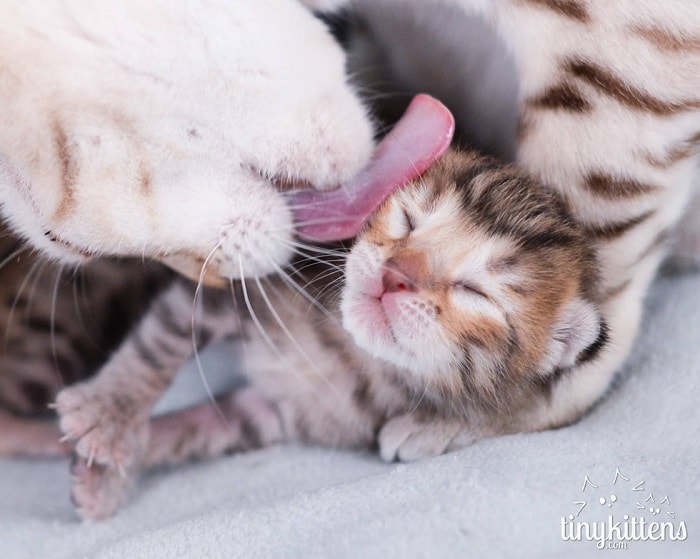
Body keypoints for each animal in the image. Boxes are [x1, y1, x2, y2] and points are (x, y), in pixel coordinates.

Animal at [52, 150, 604, 520]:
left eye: (474, 291)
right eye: (408, 220)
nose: (396, 275)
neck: (351, 355)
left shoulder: (276, 415)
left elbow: (193, 429)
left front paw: (114, 466)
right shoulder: (245, 287)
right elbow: (155, 348)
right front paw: (108, 414)